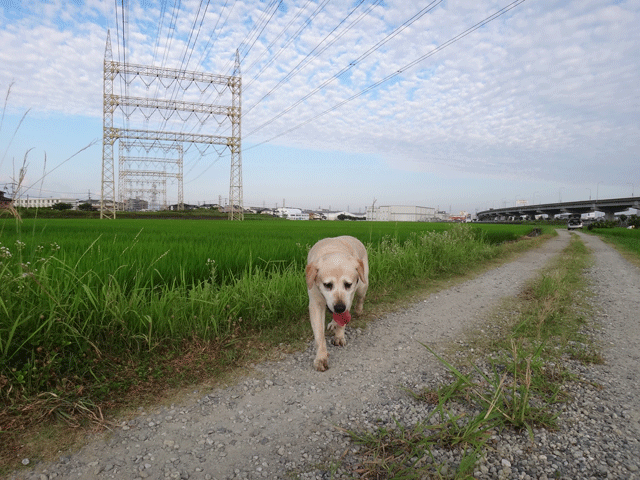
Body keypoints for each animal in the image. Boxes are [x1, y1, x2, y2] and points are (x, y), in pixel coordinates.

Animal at [306, 236, 370, 372]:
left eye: (348, 284)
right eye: (327, 285)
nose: (339, 307)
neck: (333, 251)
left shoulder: (348, 298)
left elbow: (342, 321)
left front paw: (339, 336)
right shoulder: (315, 303)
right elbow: (319, 336)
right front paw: (321, 358)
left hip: (362, 285)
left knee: (361, 297)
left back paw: (358, 310)